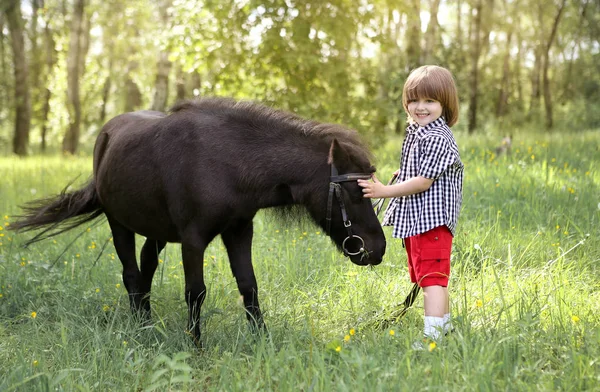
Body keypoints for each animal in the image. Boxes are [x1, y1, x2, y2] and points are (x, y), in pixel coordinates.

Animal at [11, 97, 386, 344]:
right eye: (354, 192)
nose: (378, 249)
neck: (229, 161)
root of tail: (106, 135)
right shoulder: (193, 240)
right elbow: (196, 292)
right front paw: (195, 346)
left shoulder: (239, 232)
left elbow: (249, 286)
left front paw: (261, 340)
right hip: (119, 225)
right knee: (131, 273)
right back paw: (141, 328)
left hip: (158, 231)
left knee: (147, 266)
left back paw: (147, 321)